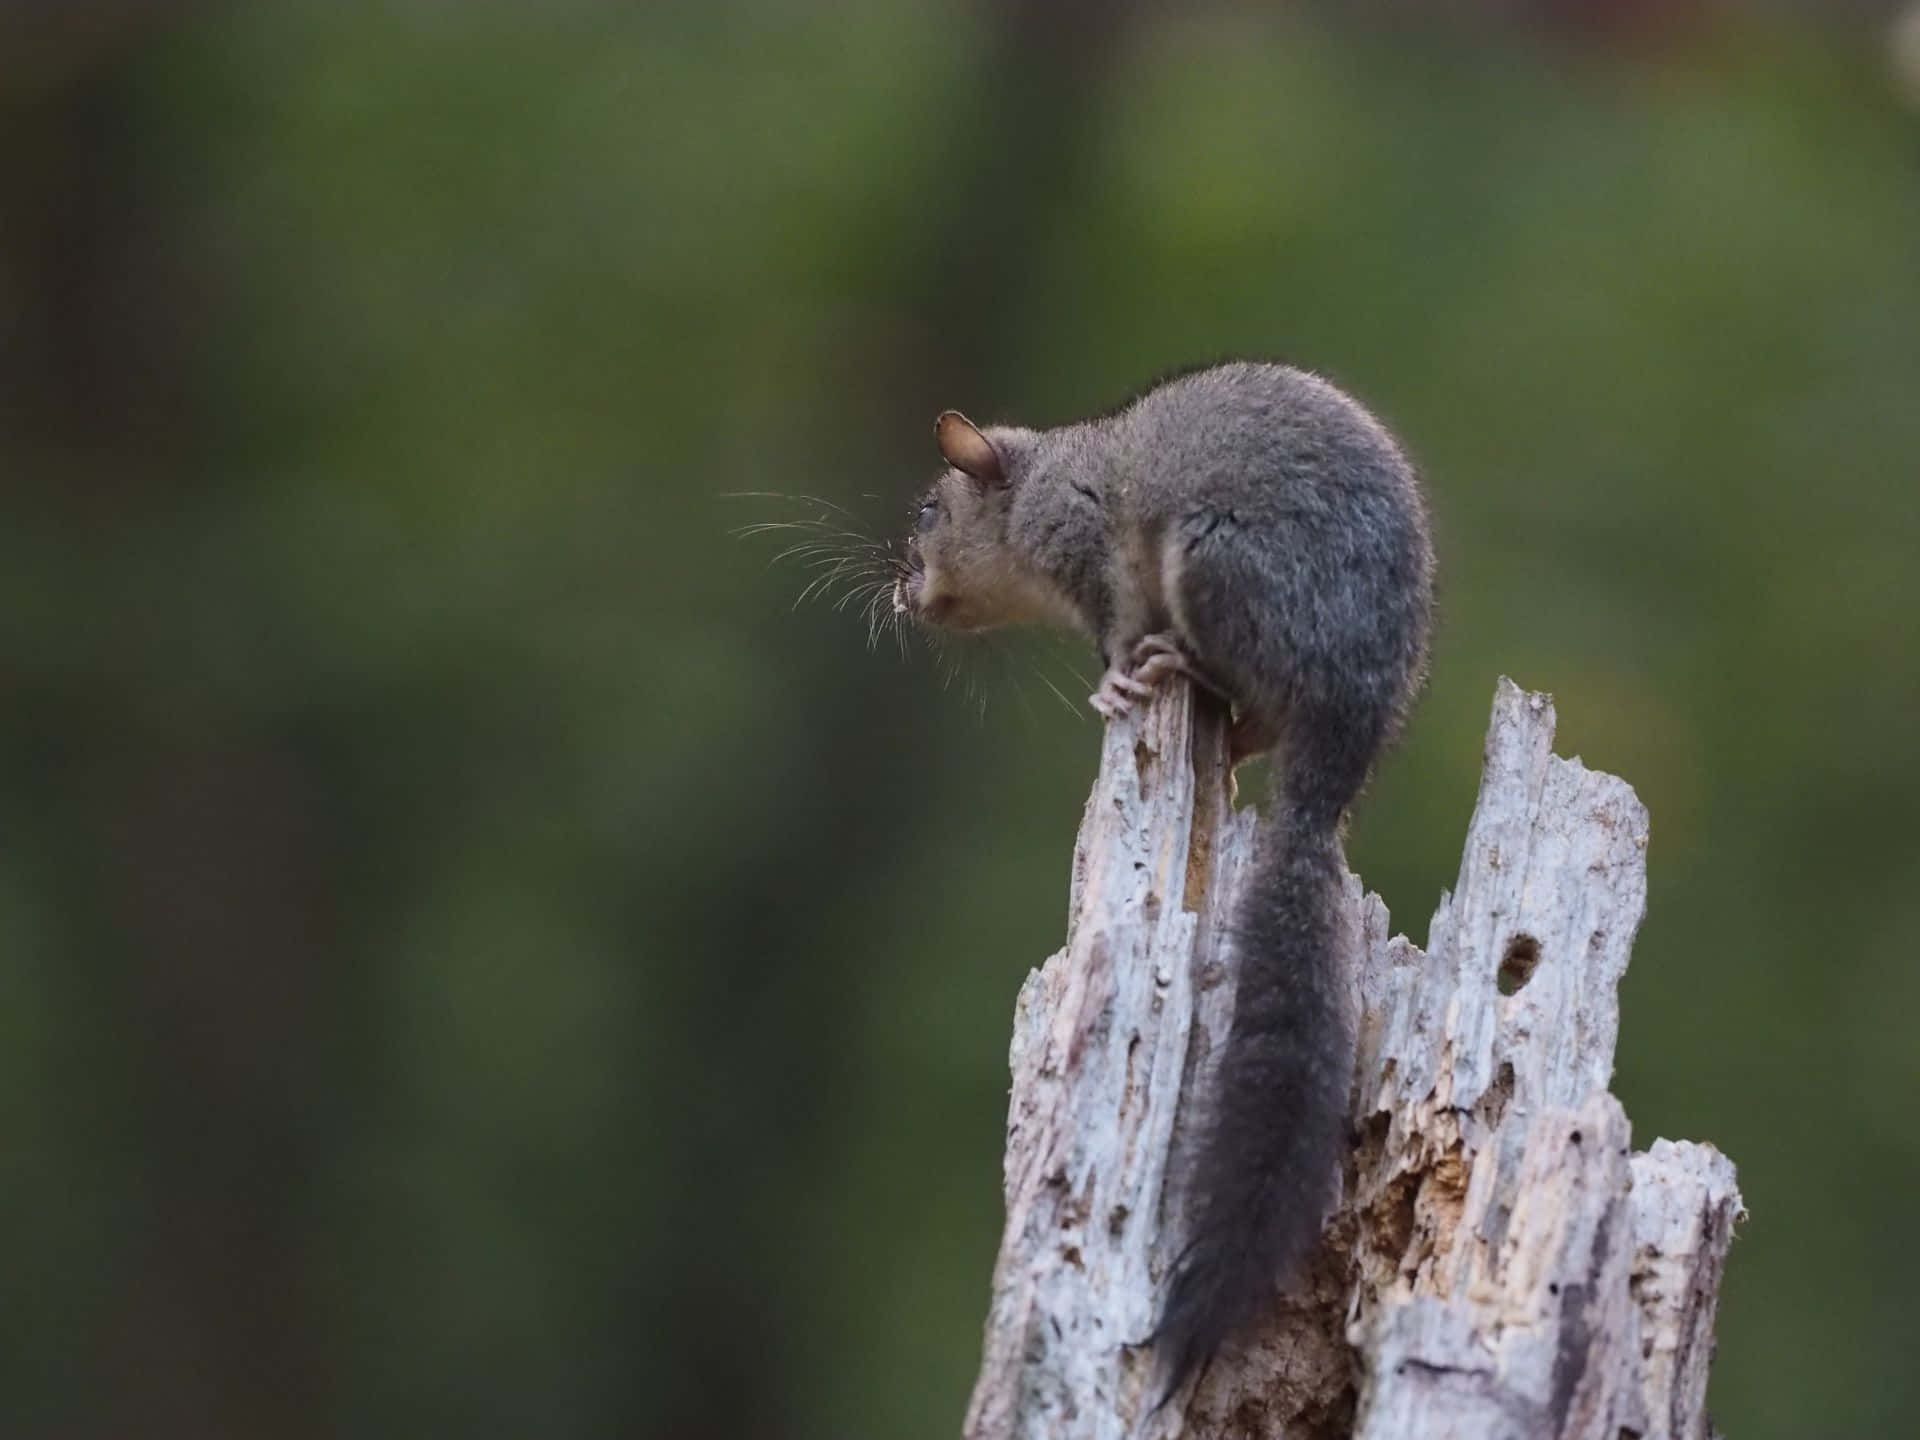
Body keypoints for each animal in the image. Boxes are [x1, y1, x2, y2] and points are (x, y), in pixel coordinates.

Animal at [891, 360, 1434, 1398]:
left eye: (929, 512)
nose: (900, 593)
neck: (1046, 472)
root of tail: (1345, 730)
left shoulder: (1090, 557)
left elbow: (1110, 630)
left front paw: (1111, 681)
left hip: (1216, 564)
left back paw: (1179, 664)